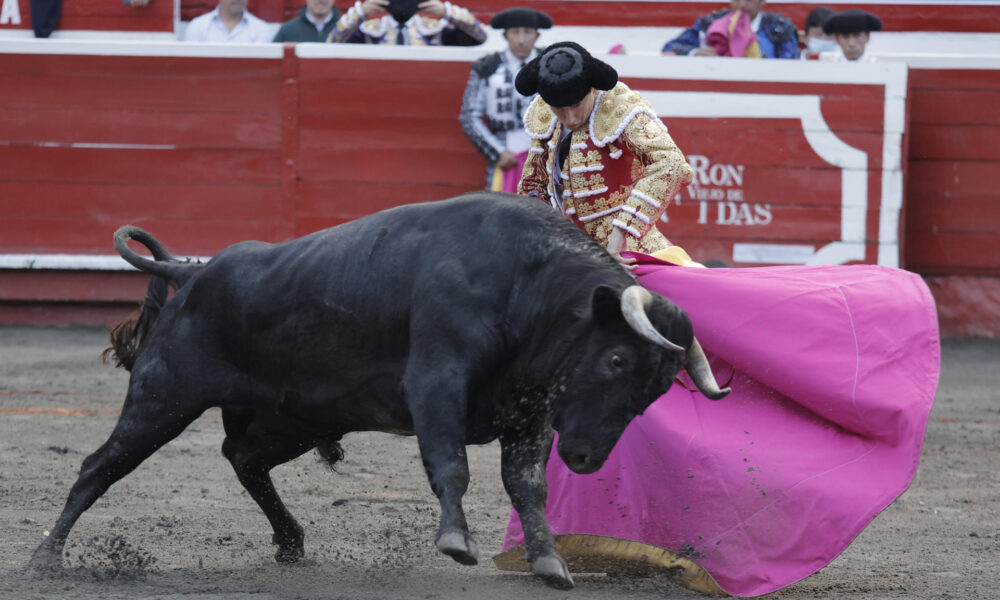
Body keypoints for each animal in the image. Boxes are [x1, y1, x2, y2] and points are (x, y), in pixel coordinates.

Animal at [23, 193, 728, 592]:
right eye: (616, 358)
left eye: (655, 391)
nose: (584, 456)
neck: (527, 284)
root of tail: (190, 273)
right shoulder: (437, 383)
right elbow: (451, 466)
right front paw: (457, 543)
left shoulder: (530, 409)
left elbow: (527, 484)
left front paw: (551, 565)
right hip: (163, 398)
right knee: (98, 467)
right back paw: (44, 559)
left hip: (293, 417)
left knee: (244, 460)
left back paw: (291, 543)